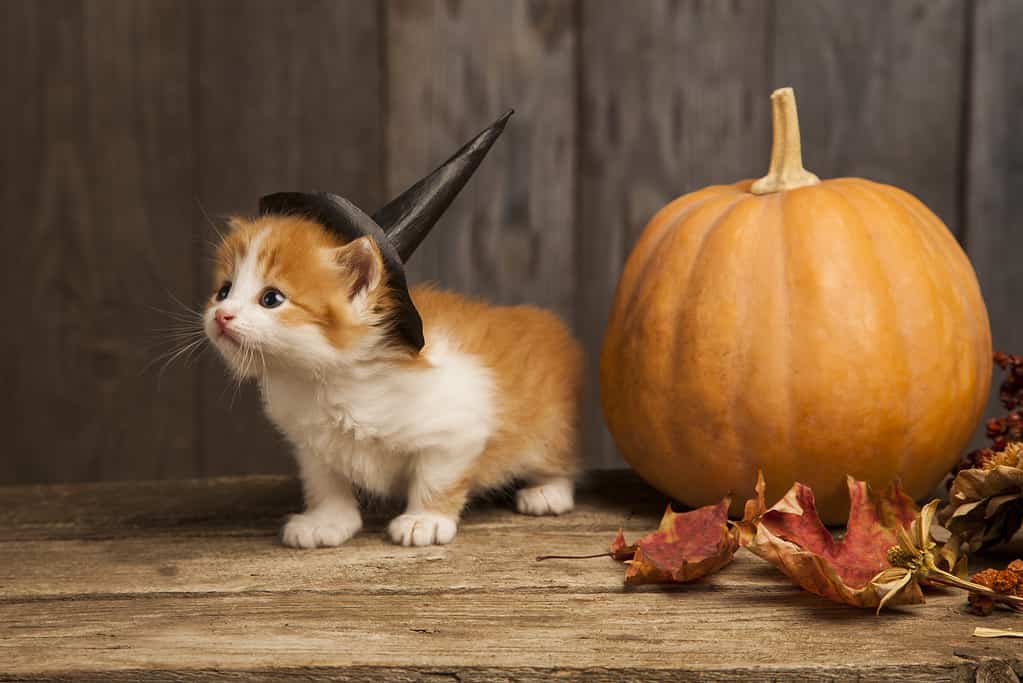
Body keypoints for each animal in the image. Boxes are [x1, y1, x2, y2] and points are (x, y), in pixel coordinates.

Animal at [203, 215, 585, 548]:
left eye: (271, 299)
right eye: (223, 291)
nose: (221, 315)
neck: (327, 381)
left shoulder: (456, 430)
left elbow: (436, 478)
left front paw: (424, 520)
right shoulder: (312, 443)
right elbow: (325, 481)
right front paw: (326, 521)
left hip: (549, 427)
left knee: (559, 459)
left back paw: (548, 492)